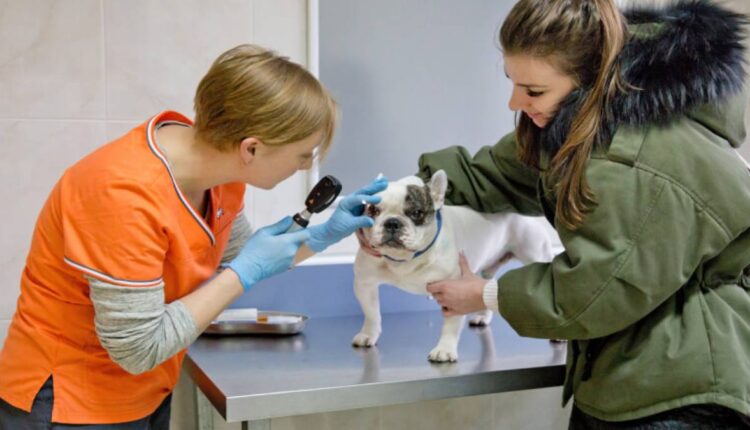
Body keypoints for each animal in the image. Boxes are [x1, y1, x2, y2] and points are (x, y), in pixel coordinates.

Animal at [356, 170, 560, 362]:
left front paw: (444, 350)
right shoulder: (365, 284)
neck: (406, 259)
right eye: (373, 210)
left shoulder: (454, 291)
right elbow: (372, 314)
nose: (392, 222)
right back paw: (482, 317)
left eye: (416, 213)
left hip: (535, 252)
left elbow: (451, 325)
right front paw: (368, 335)